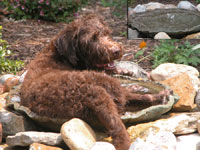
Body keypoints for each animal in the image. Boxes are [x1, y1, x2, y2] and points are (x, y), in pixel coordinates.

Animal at [20, 13, 168, 149]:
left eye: (107, 33)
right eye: (92, 38)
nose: (116, 50)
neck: (59, 56)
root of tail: (88, 96)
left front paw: (125, 71)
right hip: (102, 87)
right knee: (125, 102)